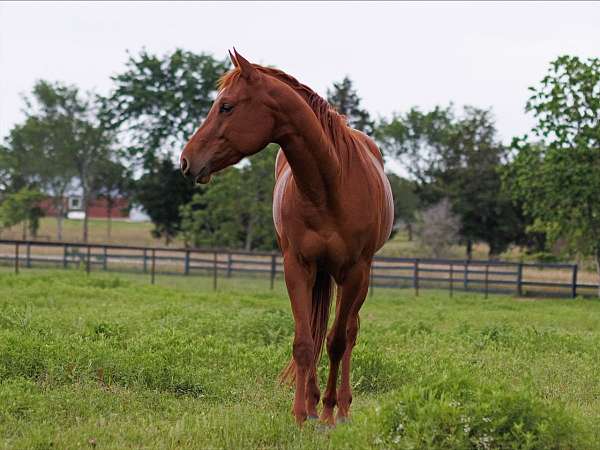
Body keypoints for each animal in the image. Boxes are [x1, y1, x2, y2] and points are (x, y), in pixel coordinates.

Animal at [178, 50, 394, 426]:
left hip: (358, 279)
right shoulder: (298, 266)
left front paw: (328, 414)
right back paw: (313, 402)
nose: (186, 160)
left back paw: (342, 408)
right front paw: (301, 415)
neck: (330, 185)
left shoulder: (354, 272)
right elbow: (305, 343)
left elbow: (337, 342)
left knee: (349, 334)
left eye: (226, 107)